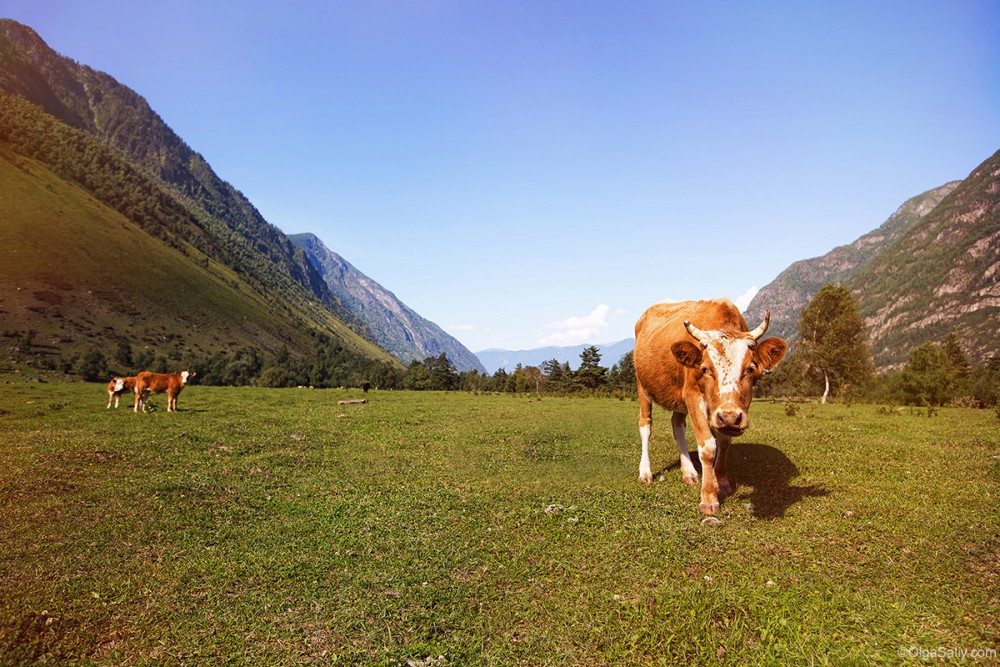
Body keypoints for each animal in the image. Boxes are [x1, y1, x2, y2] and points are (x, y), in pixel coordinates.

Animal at [632, 300, 788, 516]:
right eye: (704, 369)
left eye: (750, 368)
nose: (730, 417)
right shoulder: (692, 394)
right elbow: (707, 447)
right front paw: (708, 497)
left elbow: (724, 442)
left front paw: (720, 481)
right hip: (643, 387)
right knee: (646, 426)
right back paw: (645, 472)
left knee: (677, 426)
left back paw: (689, 471)